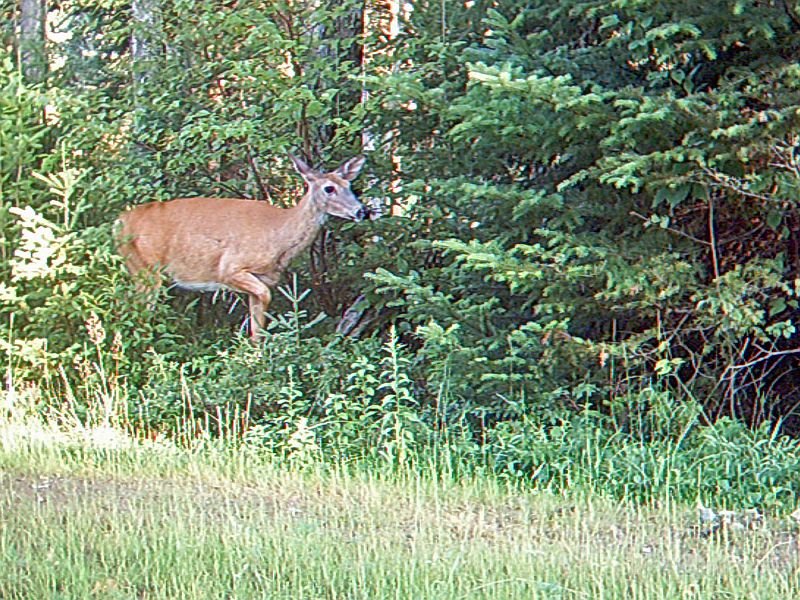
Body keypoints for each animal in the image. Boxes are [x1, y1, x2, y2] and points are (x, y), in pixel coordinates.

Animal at [117, 152, 368, 340]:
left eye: (349, 185)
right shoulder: (229, 268)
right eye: (329, 188)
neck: (278, 235)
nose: (361, 211)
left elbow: (258, 324)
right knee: (136, 315)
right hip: (145, 269)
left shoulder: (263, 279)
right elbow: (264, 300)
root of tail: (119, 222)